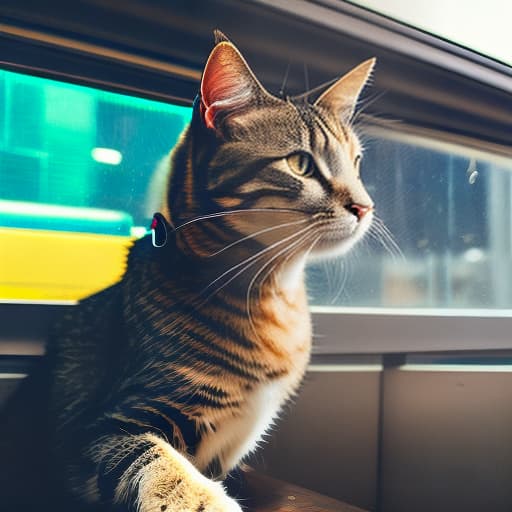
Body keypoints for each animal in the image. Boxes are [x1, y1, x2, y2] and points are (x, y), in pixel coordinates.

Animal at [0, 33, 376, 512]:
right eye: (300, 164)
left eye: (357, 162)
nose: (365, 206)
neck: (274, 293)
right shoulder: (101, 430)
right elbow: (157, 459)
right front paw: (203, 498)